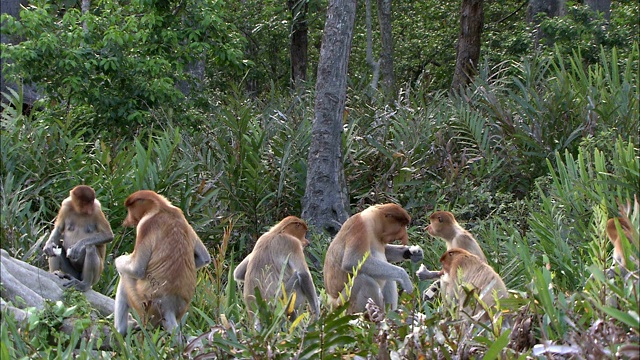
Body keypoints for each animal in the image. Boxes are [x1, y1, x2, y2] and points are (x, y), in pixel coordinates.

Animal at [111, 191, 209, 338]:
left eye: (129, 209)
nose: (127, 220)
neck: (161, 207)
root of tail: (169, 307)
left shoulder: (145, 225)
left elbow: (137, 269)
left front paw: (118, 260)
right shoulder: (179, 214)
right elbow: (204, 258)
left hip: (145, 305)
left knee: (126, 278)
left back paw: (120, 330)